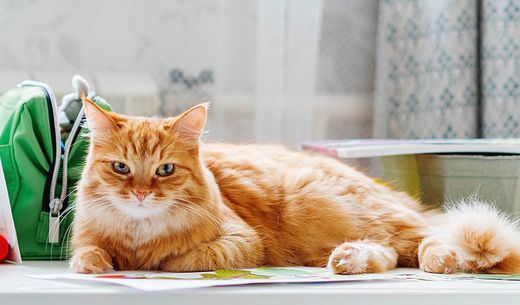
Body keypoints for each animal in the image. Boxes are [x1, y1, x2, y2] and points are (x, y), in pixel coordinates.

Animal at [69, 100, 520, 274]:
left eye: (164, 170)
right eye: (121, 168)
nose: (141, 194)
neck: (139, 233)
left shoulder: (241, 241)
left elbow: (182, 259)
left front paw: (154, 262)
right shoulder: (87, 237)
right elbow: (88, 253)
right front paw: (98, 265)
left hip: (316, 200)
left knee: (428, 238)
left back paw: (441, 260)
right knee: (390, 252)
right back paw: (348, 261)